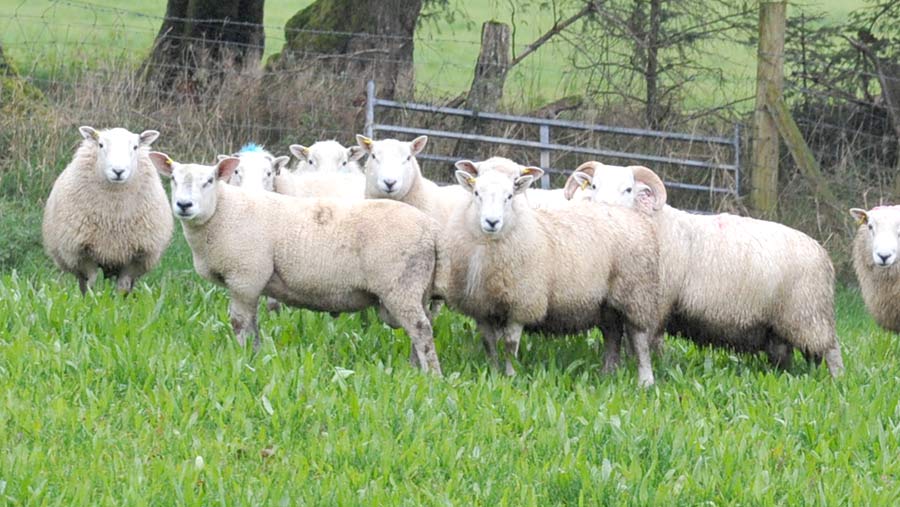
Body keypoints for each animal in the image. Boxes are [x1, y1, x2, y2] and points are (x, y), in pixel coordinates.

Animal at [42, 125, 172, 296]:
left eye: (135, 147)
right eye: (101, 145)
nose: (118, 171)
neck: (113, 217)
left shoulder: (136, 257)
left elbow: (123, 287)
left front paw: (119, 302)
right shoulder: (83, 253)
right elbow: (91, 284)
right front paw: (92, 301)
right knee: (83, 283)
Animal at [149, 151, 442, 374]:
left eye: (209, 181)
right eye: (173, 179)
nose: (184, 205)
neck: (224, 211)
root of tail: (431, 229)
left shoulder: (245, 278)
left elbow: (240, 324)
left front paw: (243, 358)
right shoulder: (250, 283)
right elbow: (253, 326)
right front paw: (256, 356)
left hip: (400, 285)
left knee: (421, 329)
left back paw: (431, 375)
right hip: (416, 288)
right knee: (422, 324)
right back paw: (414, 368)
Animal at [440, 157, 664, 386]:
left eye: (509, 196)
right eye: (477, 193)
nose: (492, 222)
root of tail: (629, 214)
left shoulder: (523, 301)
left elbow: (511, 344)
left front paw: (510, 376)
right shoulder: (481, 305)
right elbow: (489, 343)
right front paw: (493, 373)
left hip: (636, 293)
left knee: (639, 338)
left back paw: (646, 380)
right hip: (606, 303)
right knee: (613, 334)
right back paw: (607, 374)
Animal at [568, 163, 848, 378]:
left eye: (628, 189)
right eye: (594, 186)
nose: (605, 210)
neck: (653, 223)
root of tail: (823, 255)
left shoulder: (655, 302)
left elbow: (642, 341)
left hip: (809, 314)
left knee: (832, 350)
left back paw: (837, 381)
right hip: (783, 326)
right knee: (793, 353)